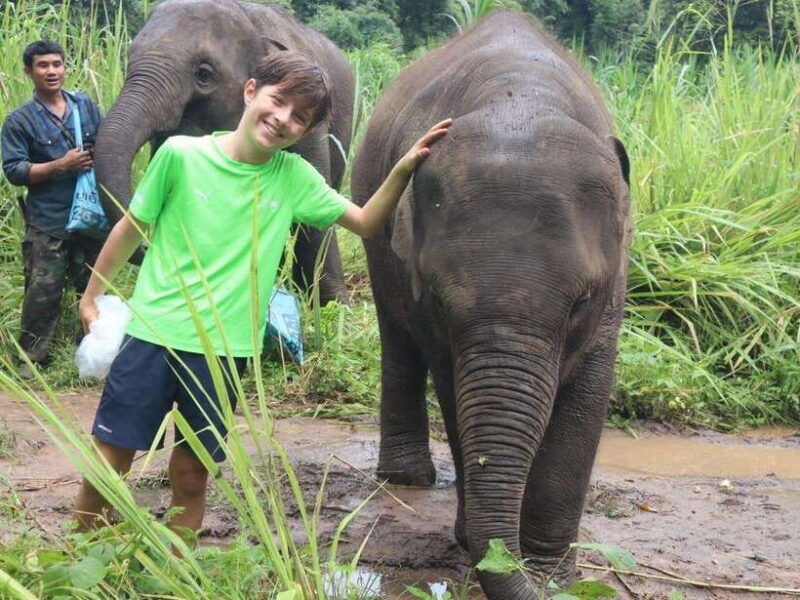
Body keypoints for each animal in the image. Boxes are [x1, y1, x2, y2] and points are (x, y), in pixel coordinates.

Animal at [94, 0, 354, 304]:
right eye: (127, 59)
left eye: (204, 74)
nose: (146, 245)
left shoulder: (314, 125)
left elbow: (316, 204)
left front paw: (333, 306)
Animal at [351, 11, 631, 600]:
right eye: (438, 297)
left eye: (582, 300)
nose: (513, 560)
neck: (517, 95)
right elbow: (453, 389)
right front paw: (482, 547)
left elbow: (588, 394)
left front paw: (550, 575)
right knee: (398, 338)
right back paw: (408, 479)